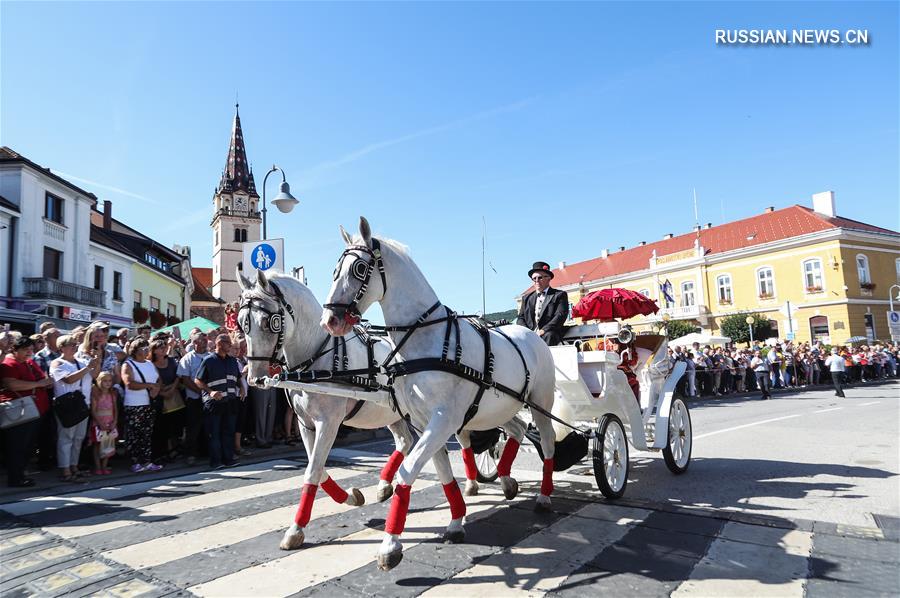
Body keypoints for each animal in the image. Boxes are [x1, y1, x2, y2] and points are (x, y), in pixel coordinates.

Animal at [316, 218, 556, 576]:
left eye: (359, 268)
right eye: (334, 269)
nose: (329, 321)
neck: (426, 339)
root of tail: (529, 332)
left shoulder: (442, 420)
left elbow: (408, 471)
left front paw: (390, 545)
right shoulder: (426, 422)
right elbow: (442, 473)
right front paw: (456, 520)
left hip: (540, 405)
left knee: (549, 442)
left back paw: (543, 495)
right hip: (500, 407)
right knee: (515, 430)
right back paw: (507, 480)